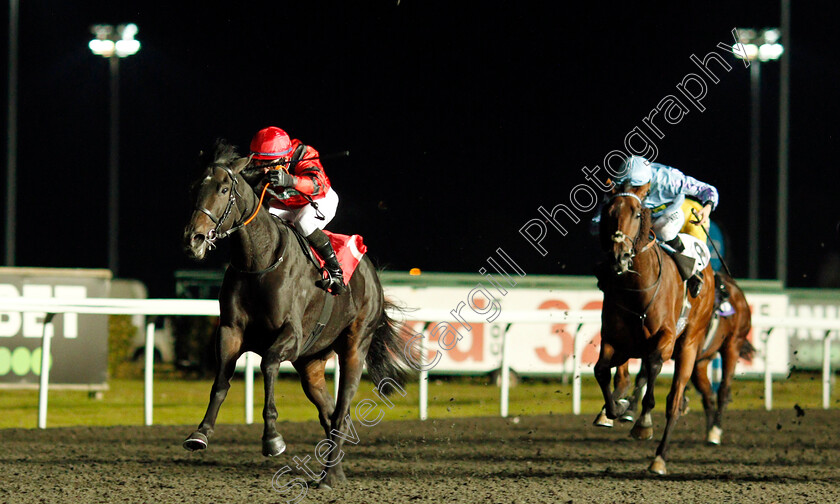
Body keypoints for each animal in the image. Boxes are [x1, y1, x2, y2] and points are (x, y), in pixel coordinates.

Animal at [182, 141, 412, 488]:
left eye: (223, 188)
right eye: (196, 186)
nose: (193, 238)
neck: (259, 261)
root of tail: (372, 274)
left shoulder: (291, 335)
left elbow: (268, 364)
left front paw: (272, 438)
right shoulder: (231, 331)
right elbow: (221, 380)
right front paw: (201, 433)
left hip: (355, 346)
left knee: (342, 409)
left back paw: (330, 475)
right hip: (311, 363)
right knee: (330, 413)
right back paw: (334, 471)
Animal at [596, 182, 716, 476]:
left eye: (637, 213)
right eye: (608, 212)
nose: (619, 256)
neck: (638, 290)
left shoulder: (665, 339)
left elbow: (652, 369)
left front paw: (643, 424)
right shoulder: (615, 341)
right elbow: (602, 371)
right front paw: (613, 409)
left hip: (690, 344)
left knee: (673, 400)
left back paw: (659, 457)